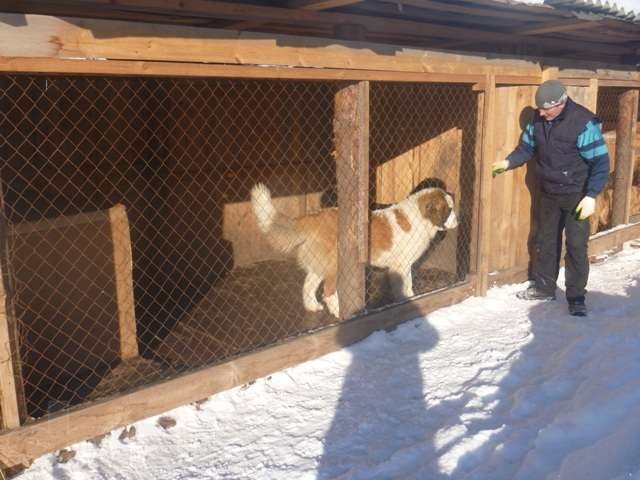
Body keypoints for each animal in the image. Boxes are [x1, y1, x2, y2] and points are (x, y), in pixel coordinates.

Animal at [249, 184, 456, 318]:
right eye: (448, 210)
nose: (458, 220)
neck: (420, 217)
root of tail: (315, 216)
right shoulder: (402, 265)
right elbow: (405, 285)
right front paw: (407, 299)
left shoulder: (402, 266)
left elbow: (406, 285)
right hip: (335, 265)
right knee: (328, 291)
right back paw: (339, 312)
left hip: (320, 266)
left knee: (308, 286)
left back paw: (312, 307)